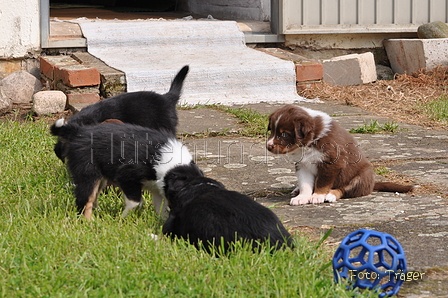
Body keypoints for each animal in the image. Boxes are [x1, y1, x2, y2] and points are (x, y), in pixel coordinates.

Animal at [50, 120, 192, 220]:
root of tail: (79, 131)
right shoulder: (126, 176)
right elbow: (135, 202)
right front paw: (121, 219)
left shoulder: (157, 188)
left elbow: (160, 208)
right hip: (88, 173)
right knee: (85, 199)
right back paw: (89, 221)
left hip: (101, 179)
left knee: (94, 196)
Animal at [266, 104, 416, 205]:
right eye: (272, 130)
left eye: (284, 134)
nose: (268, 146)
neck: (310, 142)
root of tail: (372, 184)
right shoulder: (303, 165)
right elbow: (305, 184)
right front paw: (301, 197)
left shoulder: (331, 163)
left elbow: (322, 182)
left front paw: (317, 196)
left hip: (362, 175)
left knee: (344, 190)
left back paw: (330, 195)